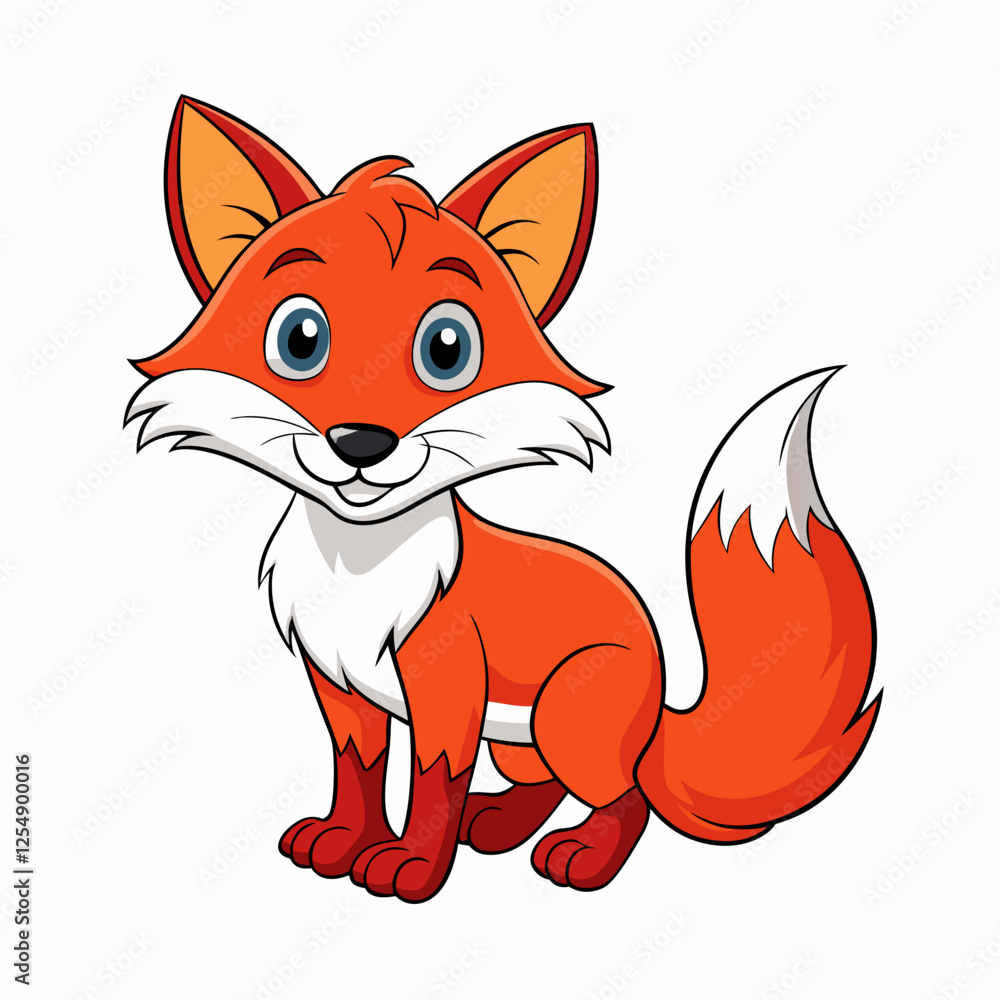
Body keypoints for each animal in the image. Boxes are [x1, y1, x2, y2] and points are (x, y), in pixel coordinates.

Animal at [125, 96, 881, 903]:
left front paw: (412, 867)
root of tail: (662, 700)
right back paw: (497, 824)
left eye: (447, 348)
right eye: (300, 339)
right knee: (545, 782)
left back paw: (582, 856)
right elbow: (358, 772)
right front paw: (342, 843)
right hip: (521, 737)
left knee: (627, 796)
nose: (361, 442)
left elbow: (431, 782)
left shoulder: (447, 686)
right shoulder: (340, 687)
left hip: (566, 710)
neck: (359, 568)